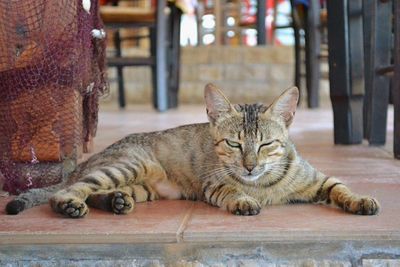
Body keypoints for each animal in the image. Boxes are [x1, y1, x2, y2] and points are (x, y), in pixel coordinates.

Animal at [7, 85, 382, 219]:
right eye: (234, 144)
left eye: (265, 144)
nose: (250, 167)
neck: (263, 184)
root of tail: (80, 164)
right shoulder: (214, 186)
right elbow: (232, 191)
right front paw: (244, 200)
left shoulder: (320, 179)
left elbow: (341, 187)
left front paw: (361, 200)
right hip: (126, 167)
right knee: (67, 192)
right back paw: (71, 205)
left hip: (141, 187)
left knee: (98, 193)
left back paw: (114, 202)